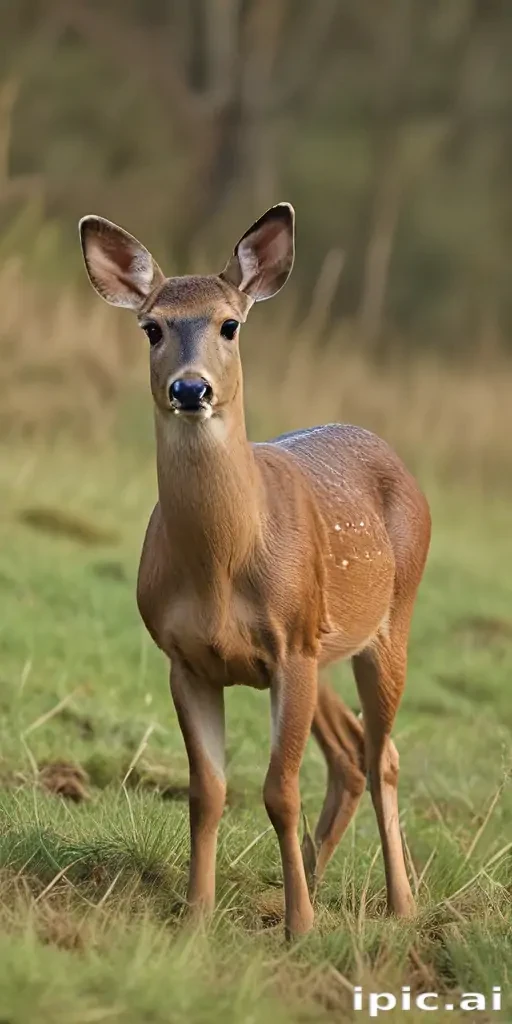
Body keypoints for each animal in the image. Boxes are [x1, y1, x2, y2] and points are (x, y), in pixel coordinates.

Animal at [79, 203, 431, 939]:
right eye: (152, 327)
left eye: (229, 324)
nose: (191, 387)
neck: (221, 566)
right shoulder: (185, 658)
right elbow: (208, 790)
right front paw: (195, 915)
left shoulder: (290, 646)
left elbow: (279, 790)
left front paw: (300, 927)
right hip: (327, 647)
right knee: (351, 751)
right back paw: (320, 880)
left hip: (390, 622)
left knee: (382, 753)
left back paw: (401, 904)